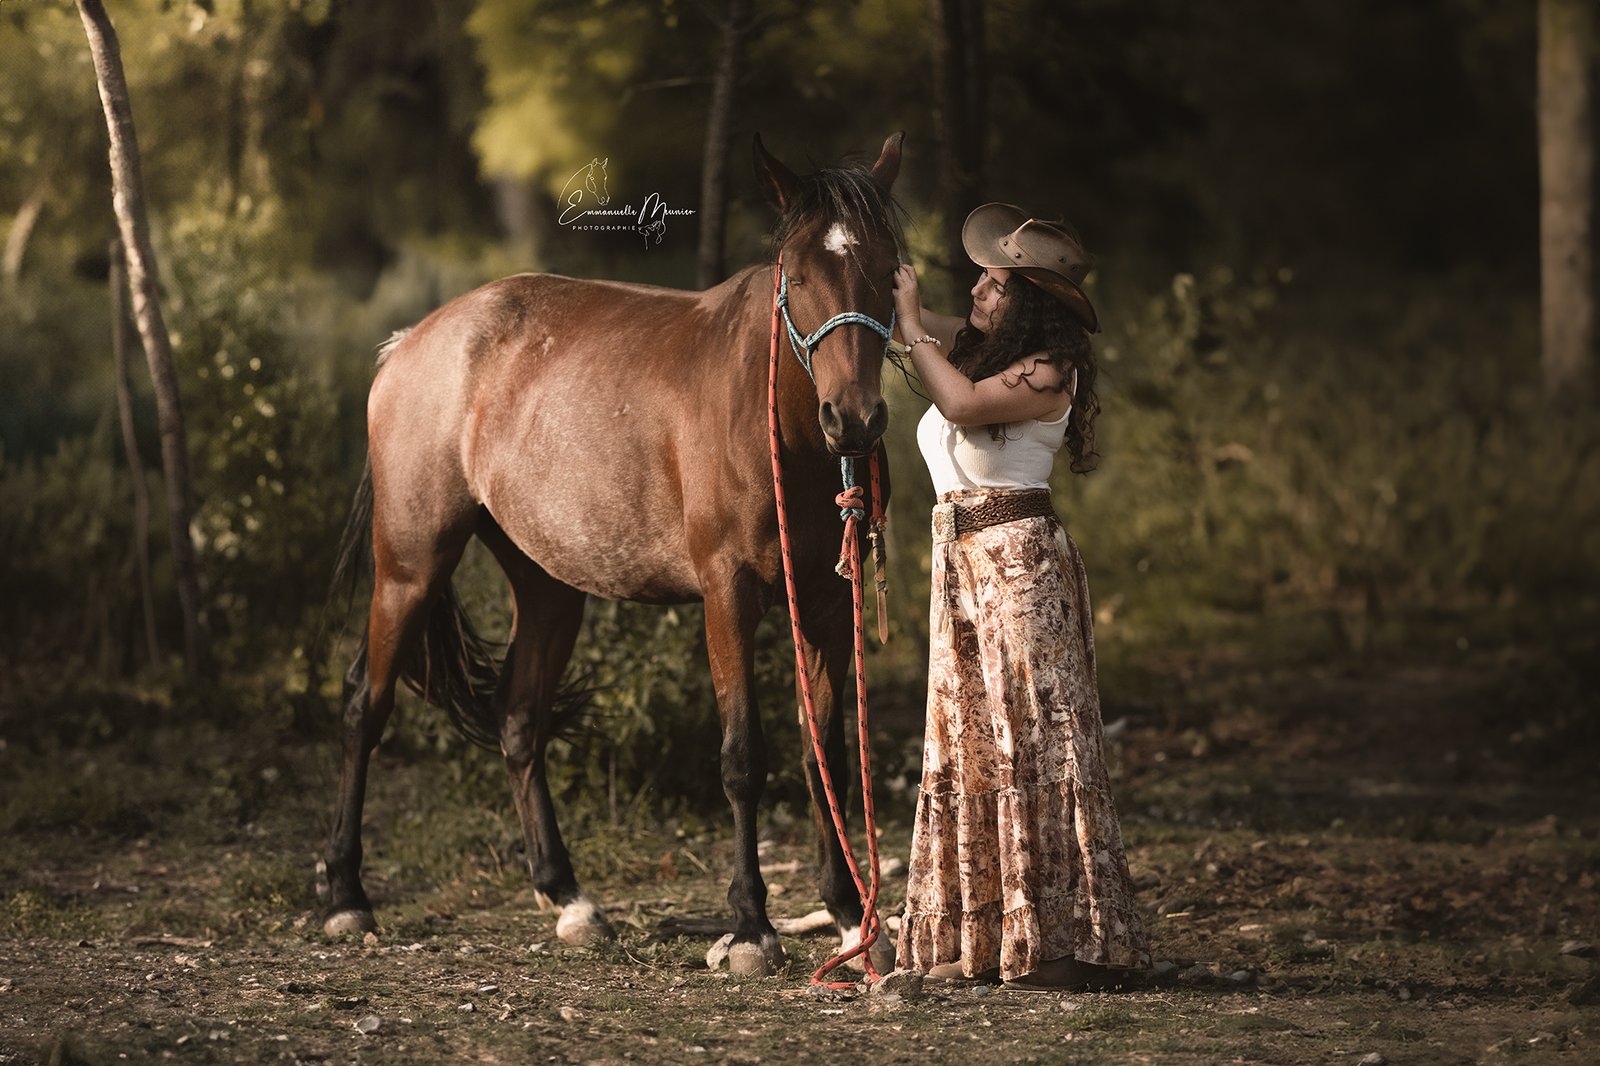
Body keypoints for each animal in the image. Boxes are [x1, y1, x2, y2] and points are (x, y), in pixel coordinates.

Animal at [318, 130, 908, 973]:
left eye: (887, 269)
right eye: (797, 275)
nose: (852, 420)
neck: (779, 429)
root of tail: (411, 343)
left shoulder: (827, 606)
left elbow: (821, 750)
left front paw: (854, 919)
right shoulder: (728, 597)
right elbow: (744, 757)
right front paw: (751, 926)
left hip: (549, 587)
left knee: (519, 719)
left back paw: (569, 898)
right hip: (409, 565)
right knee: (364, 703)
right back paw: (345, 897)